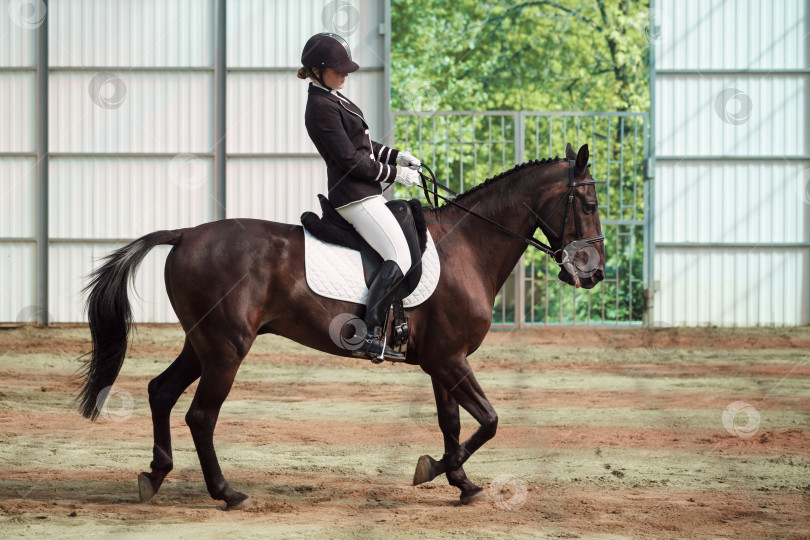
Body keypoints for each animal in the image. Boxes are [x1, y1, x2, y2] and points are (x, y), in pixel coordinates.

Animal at [79, 141, 604, 508]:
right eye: (591, 205)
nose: (594, 273)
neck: (468, 246)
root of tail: (186, 234)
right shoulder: (449, 360)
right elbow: (489, 421)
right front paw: (434, 470)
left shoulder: (442, 360)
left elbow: (453, 422)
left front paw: (461, 483)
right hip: (227, 348)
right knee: (201, 416)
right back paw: (227, 493)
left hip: (202, 342)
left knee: (161, 392)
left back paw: (154, 475)